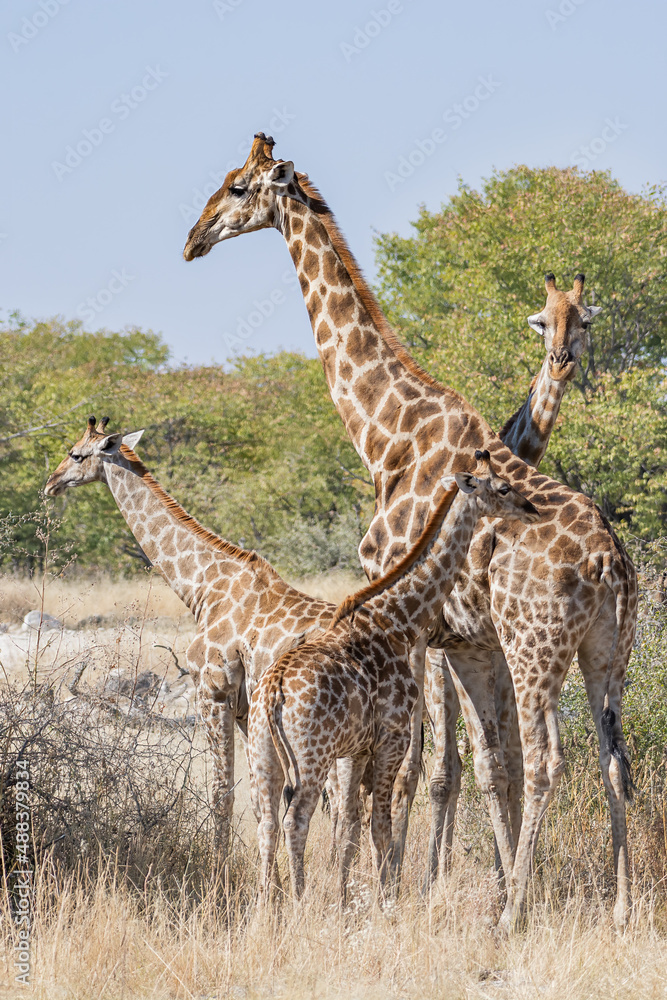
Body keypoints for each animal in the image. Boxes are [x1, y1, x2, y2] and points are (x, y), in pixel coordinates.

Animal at [44, 416, 340, 856]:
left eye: (76, 454)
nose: (51, 483)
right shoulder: (245, 710)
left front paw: (221, 872)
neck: (201, 588)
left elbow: (223, 792)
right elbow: (259, 800)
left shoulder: (213, 691)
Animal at [248, 452, 539, 900]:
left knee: (266, 825)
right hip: (311, 756)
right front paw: (386, 900)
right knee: (295, 820)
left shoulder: (355, 749)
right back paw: (298, 901)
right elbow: (380, 824)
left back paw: (268, 906)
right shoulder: (391, 737)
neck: (399, 619)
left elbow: (351, 825)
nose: (531, 509)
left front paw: (348, 898)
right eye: (504, 488)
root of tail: (273, 693)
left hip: (262, 754)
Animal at [424, 272, 604, 885]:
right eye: (541, 321)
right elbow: (475, 762)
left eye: (583, 320)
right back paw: (422, 876)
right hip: (429, 662)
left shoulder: (500, 654)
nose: (560, 361)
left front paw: (518, 878)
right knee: (434, 766)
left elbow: (512, 760)